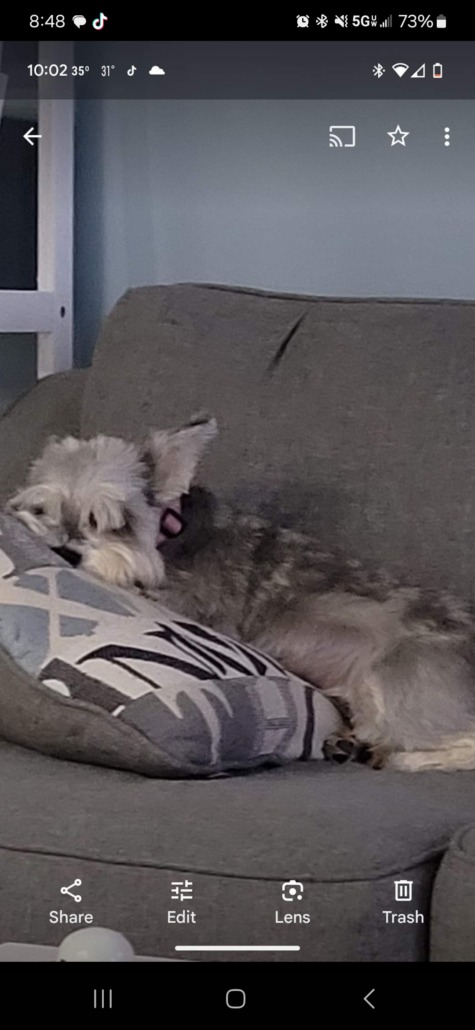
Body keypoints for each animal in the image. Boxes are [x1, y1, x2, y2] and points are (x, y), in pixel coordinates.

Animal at [8, 417, 475, 772]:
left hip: (388, 682)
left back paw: (393, 757)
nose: (64, 551)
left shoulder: (194, 607)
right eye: (40, 509)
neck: (169, 535)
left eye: (111, 521)